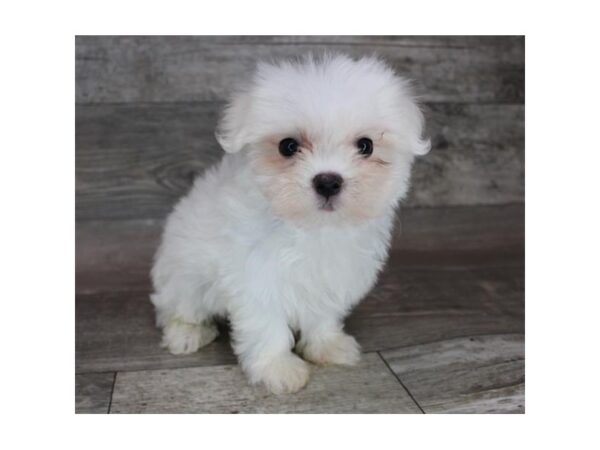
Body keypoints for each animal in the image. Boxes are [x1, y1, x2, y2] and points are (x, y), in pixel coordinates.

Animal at [152, 53, 428, 394]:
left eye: (366, 145)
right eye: (288, 146)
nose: (328, 181)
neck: (312, 227)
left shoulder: (332, 275)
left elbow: (322, 314)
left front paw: (326, 345)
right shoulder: (256, 276)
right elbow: (266, 324)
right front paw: (277, 367)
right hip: (184, 273)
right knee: (177, 307)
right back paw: (187, 333)